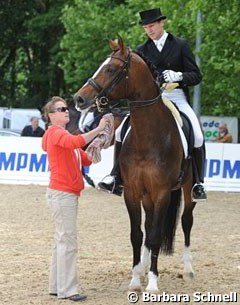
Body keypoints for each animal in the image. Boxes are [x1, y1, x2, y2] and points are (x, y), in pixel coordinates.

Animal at [74, 36, 196, 290]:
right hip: (146, 195)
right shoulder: (132, 191)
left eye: (111, 69)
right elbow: (137, 235)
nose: (79, 99)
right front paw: (135, 279)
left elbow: (156, 236)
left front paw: (152, 283)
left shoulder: (162, 192)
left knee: (186, 221)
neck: (148, 137)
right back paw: (144, 267)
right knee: (148, 227)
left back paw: (188, 270)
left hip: (188, 189)